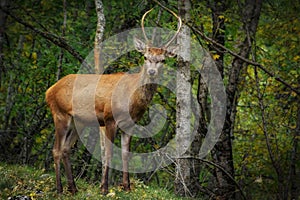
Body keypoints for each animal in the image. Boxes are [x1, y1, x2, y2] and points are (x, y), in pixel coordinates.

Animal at [44, 9, 180, 195]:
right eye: (145, 57)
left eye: (163, 60)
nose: (152, 71)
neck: (131, 99)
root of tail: (49, 91)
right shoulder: (109, 118)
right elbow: (108, 154)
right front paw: (104, 188)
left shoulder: (130, 124)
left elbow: (125, 153)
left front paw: (127, 187)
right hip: (60, 114)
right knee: (56, 149)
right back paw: (59, 189)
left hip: (79, 121)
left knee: (65, 149)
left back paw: (73, 188)